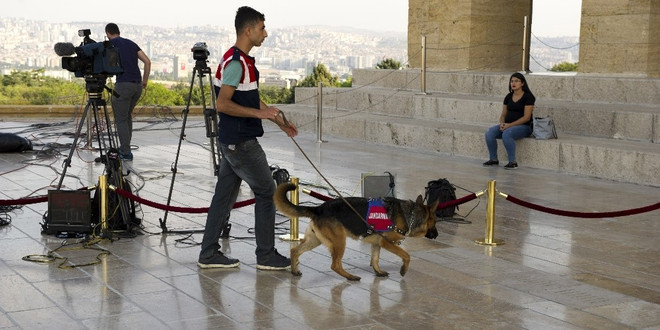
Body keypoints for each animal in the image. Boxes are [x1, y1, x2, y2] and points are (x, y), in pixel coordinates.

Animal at [274, 182, 438, 280]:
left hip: (315, 240)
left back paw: (295, 271)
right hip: (339, 242)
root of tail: (318, 208)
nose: (437, 235)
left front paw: (378, 272)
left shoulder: (377, 244)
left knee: (295, 251)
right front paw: (403, 269)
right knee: (335, 265)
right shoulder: (387, 243)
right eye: (435, 222)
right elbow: (406, 255)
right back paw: (350, 276)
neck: (410, 214)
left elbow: (375, 259)